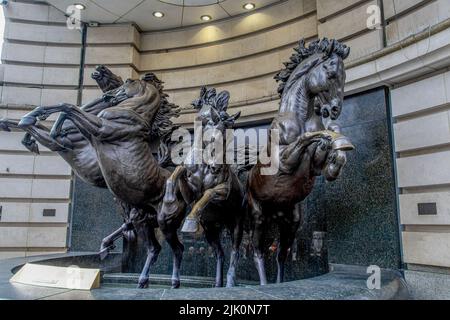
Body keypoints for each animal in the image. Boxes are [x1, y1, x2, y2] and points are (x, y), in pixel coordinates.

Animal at [246, 38, 356, 284]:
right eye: (331, 73)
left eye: (345, 76)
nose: (335, 109)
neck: (300, 117)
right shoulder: (284, 161)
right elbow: (310, 137)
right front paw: (337, 141)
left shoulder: (315, 168)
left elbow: (328, 144)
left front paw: (337, 156)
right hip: (258, 217)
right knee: (257, 253)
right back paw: (265, 283)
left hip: (291, 221)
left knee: (281, 255)